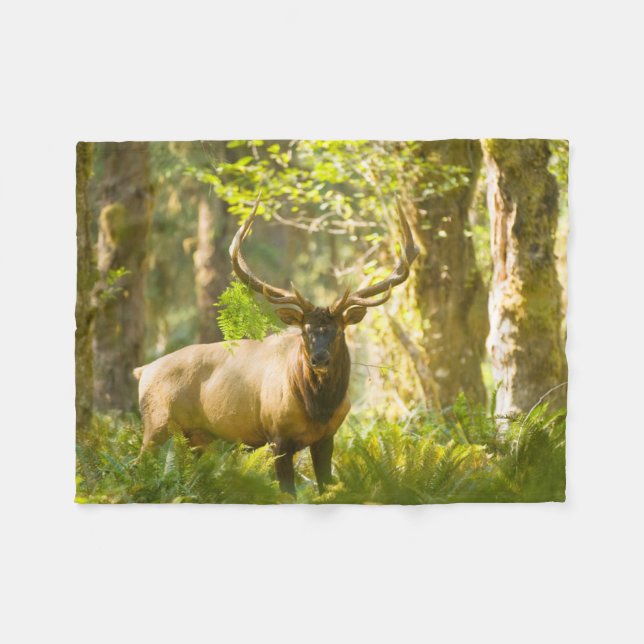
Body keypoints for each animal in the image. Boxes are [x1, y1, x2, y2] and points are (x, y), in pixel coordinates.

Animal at [133, 196, 419, 496]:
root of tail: (143, 370)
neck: (318, 409)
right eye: (304, 331)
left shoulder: (327, 437)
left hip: (197, 437)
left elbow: (325, 486)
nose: (319, 359)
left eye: (339, 331)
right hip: (156, 424)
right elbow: (287, 493)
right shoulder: (276, 436)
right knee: (137, 465)